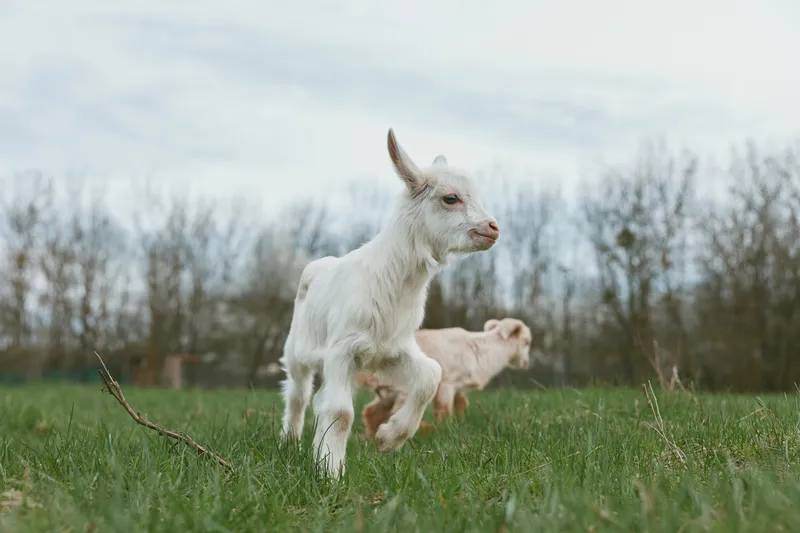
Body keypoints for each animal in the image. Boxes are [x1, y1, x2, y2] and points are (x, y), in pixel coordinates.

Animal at [279, 128, 500, 476]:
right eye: (450, 198)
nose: (493, 228)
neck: (393, 282)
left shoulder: (391, 350)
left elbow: (431, 375)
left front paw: (389, 437)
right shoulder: (342, 348)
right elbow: (341, 411)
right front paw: (331, 473)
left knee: (318, 399)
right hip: (298, 348)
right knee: (298, 395)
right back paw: (289, 442)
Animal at [360, 318, 532, 438]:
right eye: (525, 342)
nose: (526, 363)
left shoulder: (460, 388)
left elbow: (461, 406)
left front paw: (460, 425)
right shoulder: (447, 384)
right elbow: (444, 410)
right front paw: (444, 431)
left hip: (388, 391)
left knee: (371, 412)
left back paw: (373, 438)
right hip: (404, 387)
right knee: (396, 411)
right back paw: (424, 429)